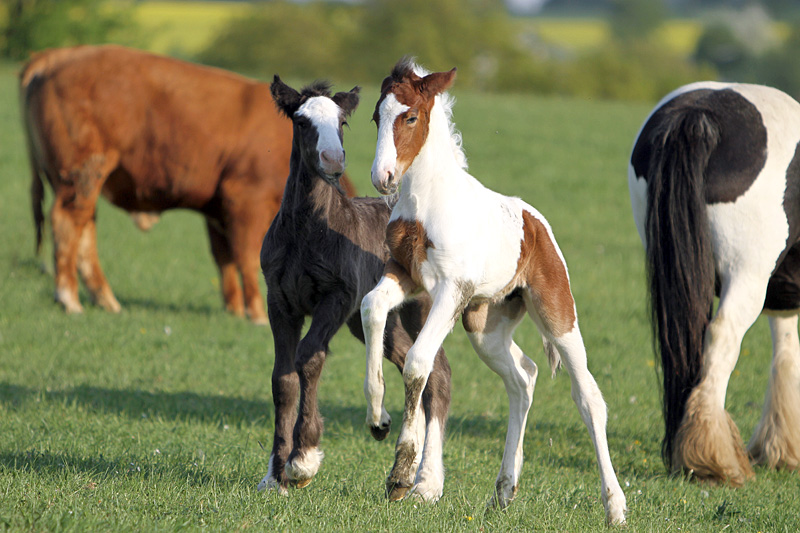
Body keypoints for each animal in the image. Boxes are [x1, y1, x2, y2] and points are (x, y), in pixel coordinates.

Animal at [360, 59, 628, 524]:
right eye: (377, 117)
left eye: (410, 117)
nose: (383, 177)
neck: (426, 204)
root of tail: (536, 223)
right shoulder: (404, 274)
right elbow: (371, 306)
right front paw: (378, 418)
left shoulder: (451, 290)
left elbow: (417, 363)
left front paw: (402, 476)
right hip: (485, 326)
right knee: (524, 378)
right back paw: (505, 489)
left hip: (557, 313)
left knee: (588, 397)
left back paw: (615, 506)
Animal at [628, 81, 800, 484]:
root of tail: (698, 114)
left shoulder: (782, 299)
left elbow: (786, 354)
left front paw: (780, 450)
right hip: (747, 276)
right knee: (721, 338)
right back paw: (711, 460)